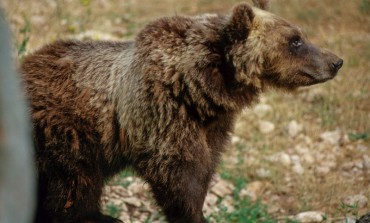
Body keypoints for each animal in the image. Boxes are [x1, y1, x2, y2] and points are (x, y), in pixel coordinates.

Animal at [21, 0, 342, 223]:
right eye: (295, 41)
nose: (336, 61)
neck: (201, 87)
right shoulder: (163, 114)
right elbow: (177, 174)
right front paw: (191, 213)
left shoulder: (213, 126)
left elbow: (205, 169)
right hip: (67, 130)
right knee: (74, 183)